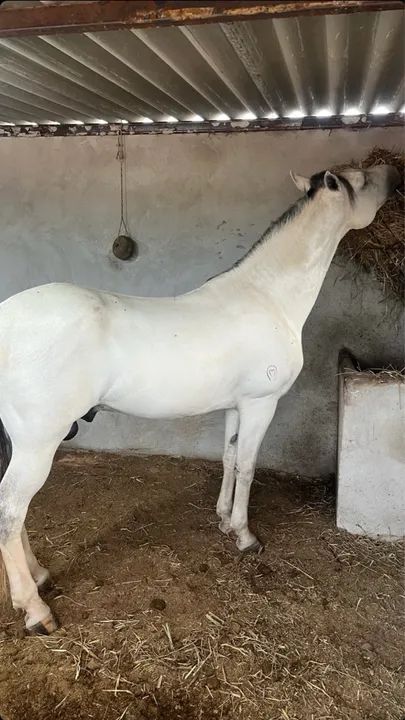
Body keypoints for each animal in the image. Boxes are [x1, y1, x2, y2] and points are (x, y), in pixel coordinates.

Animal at [0, 163, 399, 635]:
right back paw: (35, 609)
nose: (393, 173)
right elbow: (247, 466)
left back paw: (39, 575)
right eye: (358, 178)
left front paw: (224, 519)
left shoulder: (234, 406)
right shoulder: (261, 404)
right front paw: (245, 535)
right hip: (38, 443)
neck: (268, 296)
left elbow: (228, 458)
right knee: (10, 511)